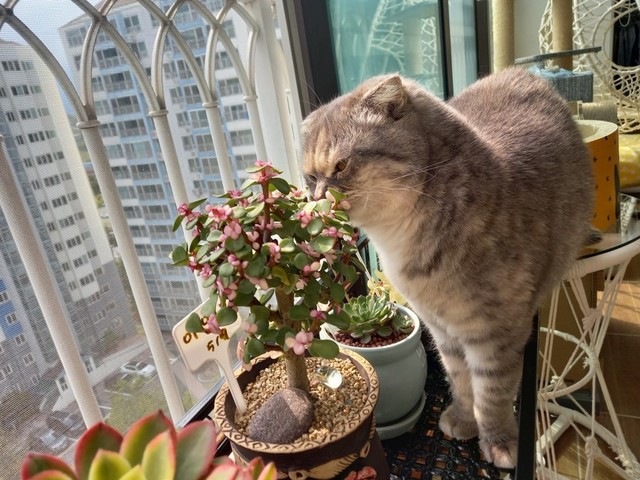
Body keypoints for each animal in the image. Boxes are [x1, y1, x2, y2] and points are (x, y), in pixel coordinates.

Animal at [300, 67, 594, 469]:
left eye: (341, 165)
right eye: (309, 178)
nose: (316, 201)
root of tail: (521, 72)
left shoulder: (498, 334)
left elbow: (493, 392)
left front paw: (499, 440)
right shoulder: (442, 330)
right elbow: (461, 381)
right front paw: (464, 419)